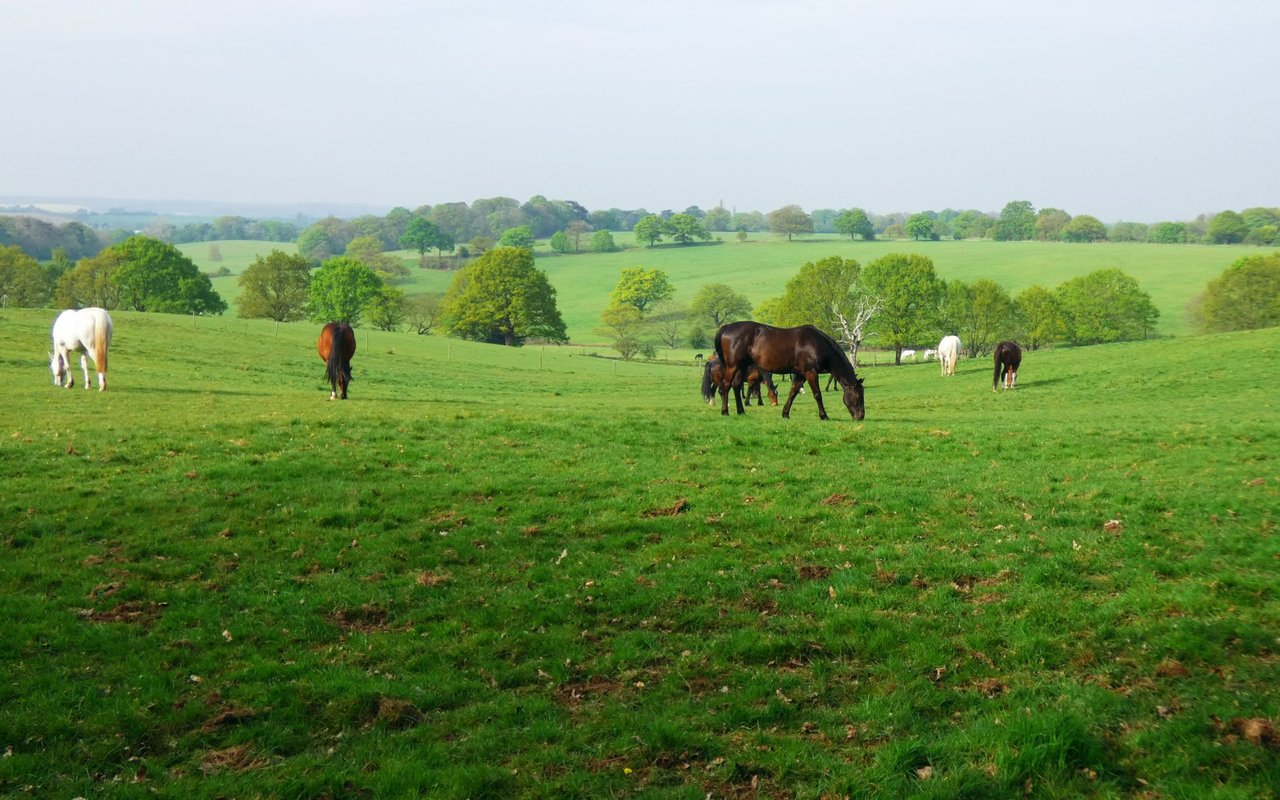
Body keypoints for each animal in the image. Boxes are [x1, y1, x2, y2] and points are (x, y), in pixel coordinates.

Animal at [716, 320, 865, 422]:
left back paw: (741, 411)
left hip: (741, 366)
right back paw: (725, 411)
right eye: (859, 396)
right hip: (733, 366)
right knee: (725, 386)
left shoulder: (801, 374)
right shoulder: (810, 372)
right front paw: (824, 416)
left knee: (736, 386)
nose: (861, 417)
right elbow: (817, 394)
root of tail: (727, 327)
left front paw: (785, 413)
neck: (817, 344)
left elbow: (792, 393)